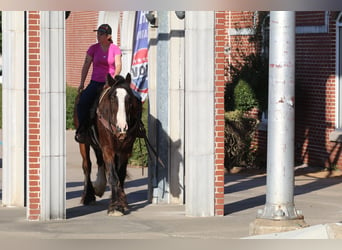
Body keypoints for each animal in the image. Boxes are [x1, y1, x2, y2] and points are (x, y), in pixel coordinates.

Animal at [73, 73, 143, 216]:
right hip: (84, 143)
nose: (122, 127)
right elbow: (113, 176)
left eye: (129, 99)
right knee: (87, 165)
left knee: (101, 162)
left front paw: (121, 202)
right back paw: (88, 196)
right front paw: (115, 207)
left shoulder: (125, 150)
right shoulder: (108, 149)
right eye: (112, 98)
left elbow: (120, 175)